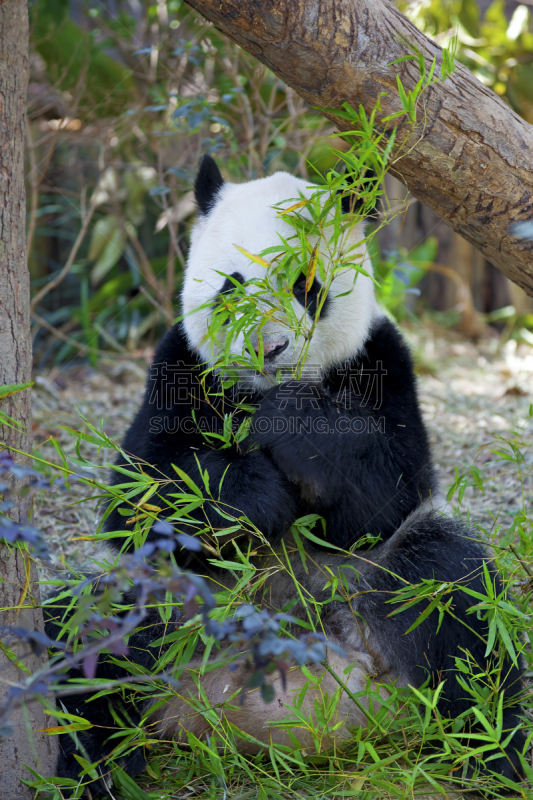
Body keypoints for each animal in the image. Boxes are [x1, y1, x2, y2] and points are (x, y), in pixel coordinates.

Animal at [46, 156, 524, 792]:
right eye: (232, 286)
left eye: (306, 286)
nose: (268, 349)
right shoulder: (178, 365)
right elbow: (140, 495)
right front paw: (252, 496)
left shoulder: (381, 358)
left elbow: (389, 490)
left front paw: (288, 426)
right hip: (177, 608)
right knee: (93, 632)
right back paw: (99, 764)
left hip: (377, 588)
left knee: (452, 590)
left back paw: (495, 753)